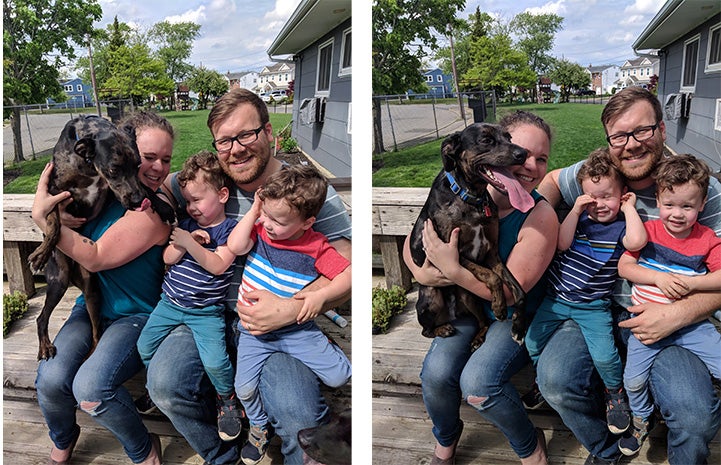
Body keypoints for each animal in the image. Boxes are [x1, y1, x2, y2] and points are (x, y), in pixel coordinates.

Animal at [27, 114, 176, 360]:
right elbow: (54, 220)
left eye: (138, 165)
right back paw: (45, 345)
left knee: (97, 332)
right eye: (114, 169)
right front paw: (41, 252)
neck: (89, 165)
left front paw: (163, 207)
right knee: (41, 318)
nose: (138, 202)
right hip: (59, 278)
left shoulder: (112, 192)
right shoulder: (52, 190)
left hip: (91, 289)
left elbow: (146, 187)